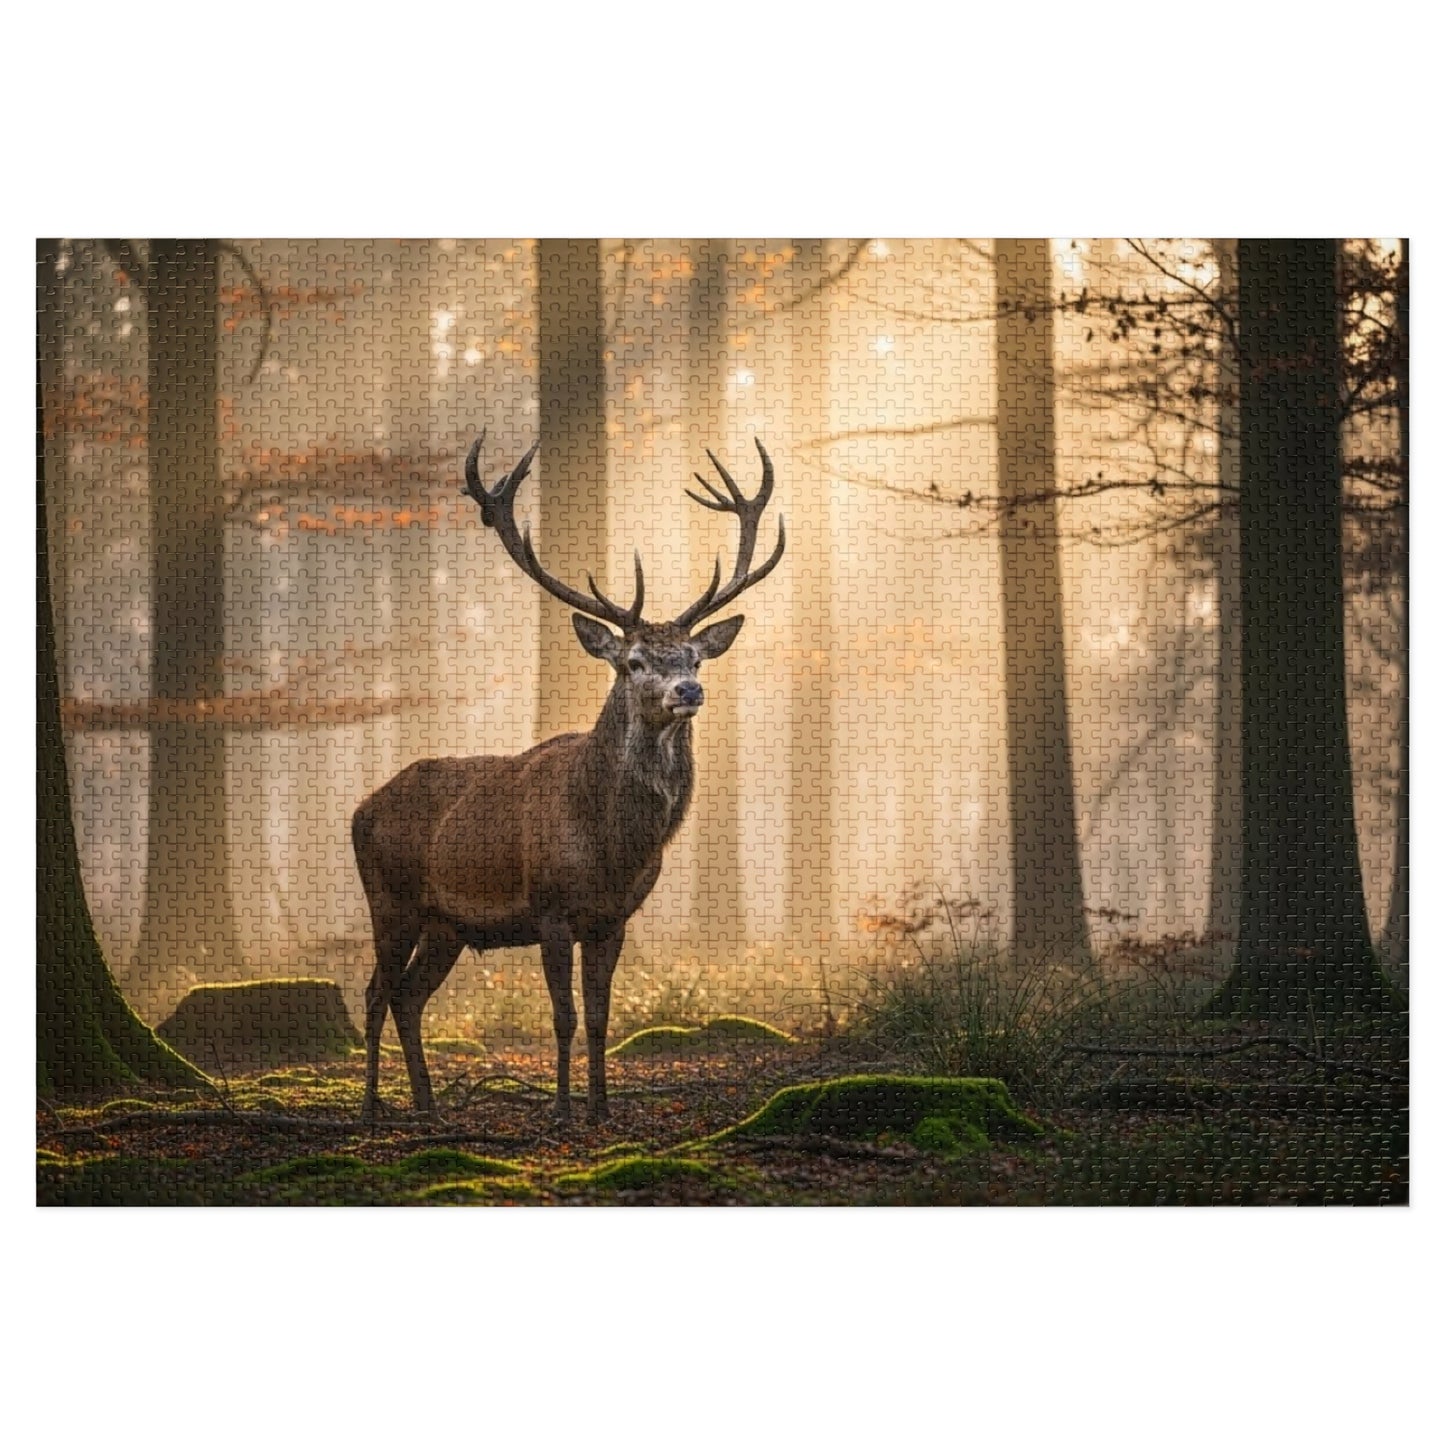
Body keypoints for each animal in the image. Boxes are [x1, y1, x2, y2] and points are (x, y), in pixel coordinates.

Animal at [351, 429, 785, 1126]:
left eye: (693, 656)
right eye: (634, 661)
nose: (688, 690)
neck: (612, 847)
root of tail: (361, 807)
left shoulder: (615, 917)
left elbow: (603, 1016)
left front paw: (602, 1108)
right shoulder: (550, 908)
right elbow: (563, 1015)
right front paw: (560, 1108)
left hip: (447, 924)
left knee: (409, 997)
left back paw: (428, 1106)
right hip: (390, 898)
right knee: (374, 993)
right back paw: (371, 1109)